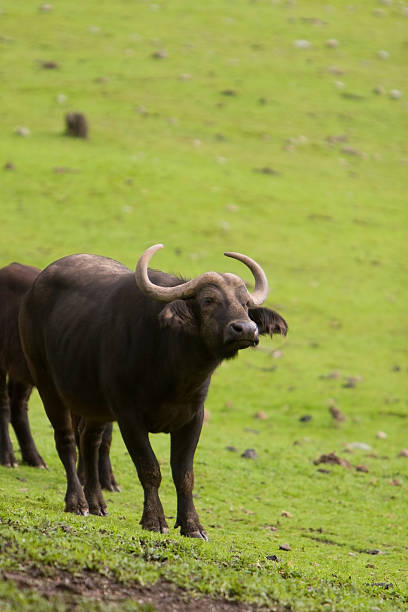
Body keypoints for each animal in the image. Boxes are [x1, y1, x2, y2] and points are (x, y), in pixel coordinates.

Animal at [0, 264, 118, 492]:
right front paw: (86, 477)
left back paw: (34, 459)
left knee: (18, 405)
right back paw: (8, 457)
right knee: (4, 404)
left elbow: (104, 437)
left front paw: (108, 481)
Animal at [19, 245, 286, 540]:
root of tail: (35, 289)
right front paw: (155, 520)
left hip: (95, 406)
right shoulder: (129, 417)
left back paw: (97, 502)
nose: (246, 329)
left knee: (90, 442)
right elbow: (149, 469)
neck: (172, 369)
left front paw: (193, 526)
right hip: (47, 385)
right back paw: (77, 502)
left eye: (246, 303)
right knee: (66, 441)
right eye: (208, 300)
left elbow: (184, 475)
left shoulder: (193, 418)